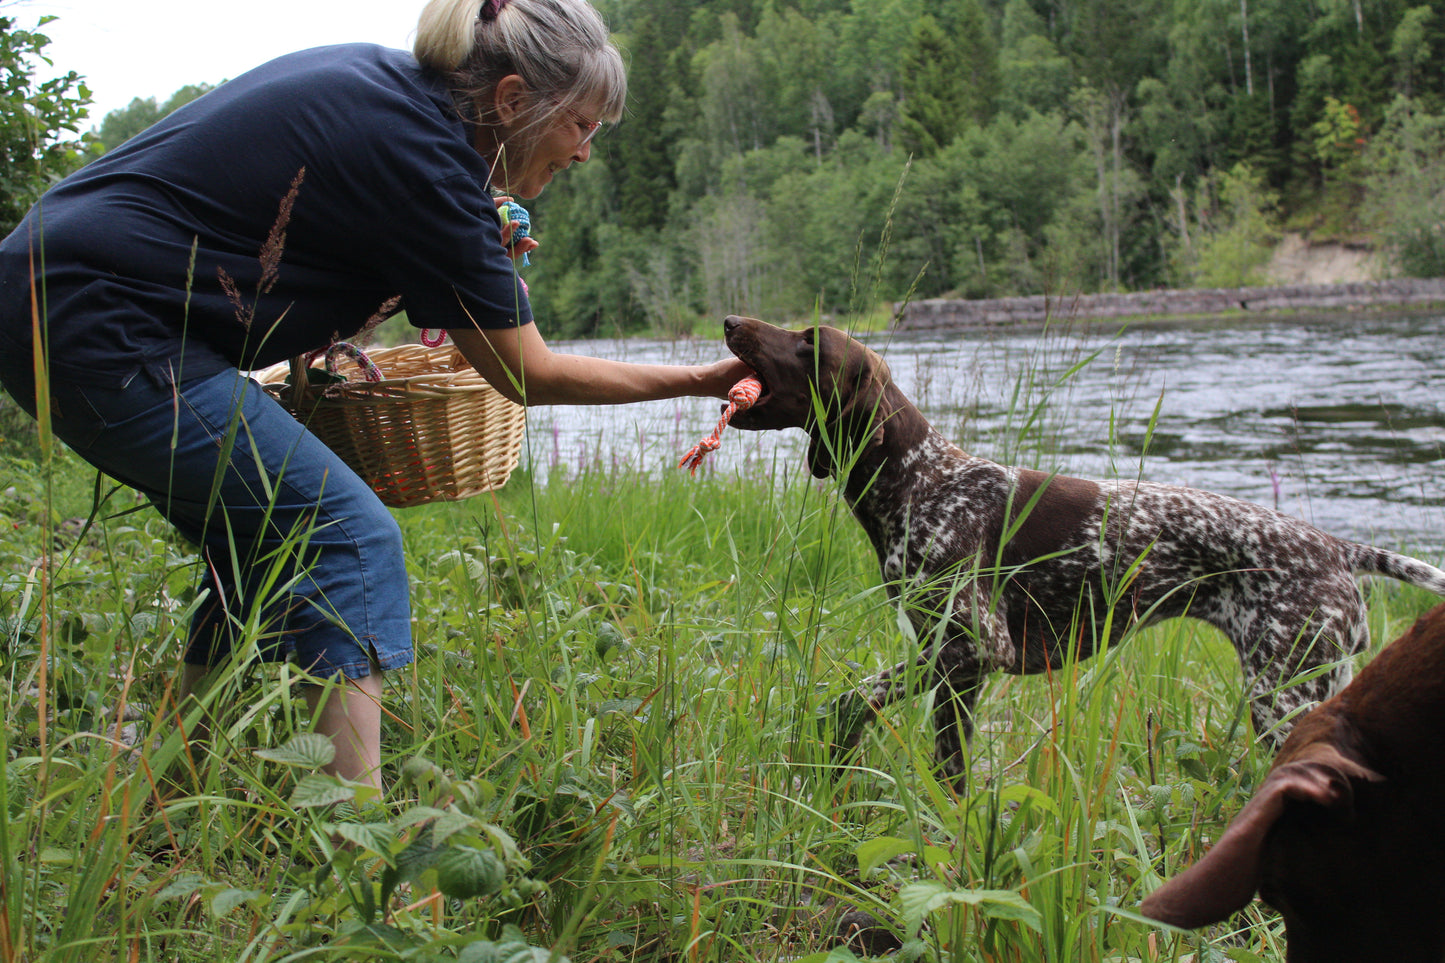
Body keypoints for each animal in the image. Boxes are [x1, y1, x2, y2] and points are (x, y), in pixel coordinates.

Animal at [722, 316, 1445, 780]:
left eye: (810, 342)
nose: (730, 320)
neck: (921, 479)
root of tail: (1336, 547)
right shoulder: (955, 667)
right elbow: (924, 752)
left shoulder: (973, 649)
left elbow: (868, 705)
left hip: (1284, 694)